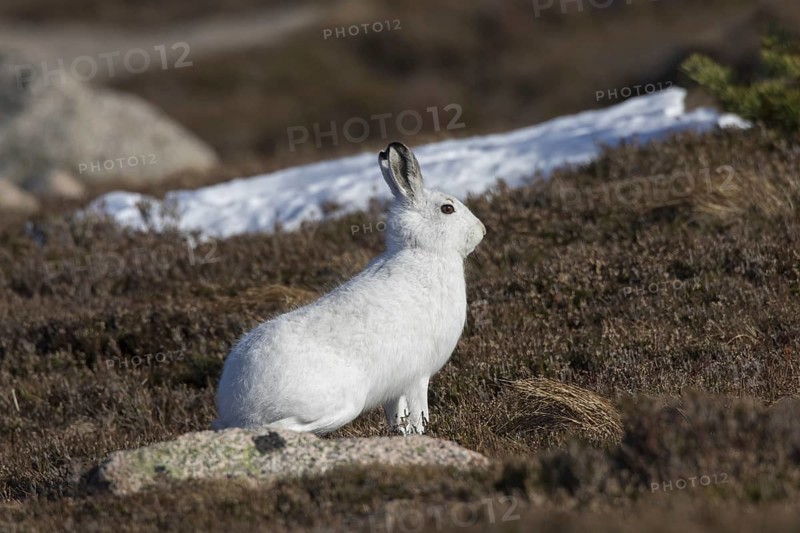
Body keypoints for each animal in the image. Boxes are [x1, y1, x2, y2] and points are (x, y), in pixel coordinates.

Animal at [212, 142, 486, 435]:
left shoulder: (394, 389)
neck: (424, 250)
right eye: (448, 209)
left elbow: (396, 414)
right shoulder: (417, 375)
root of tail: (237, 403)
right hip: (341, 404)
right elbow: (418, 411)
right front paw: (420, 433)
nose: (482, 230)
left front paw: (400, 434)